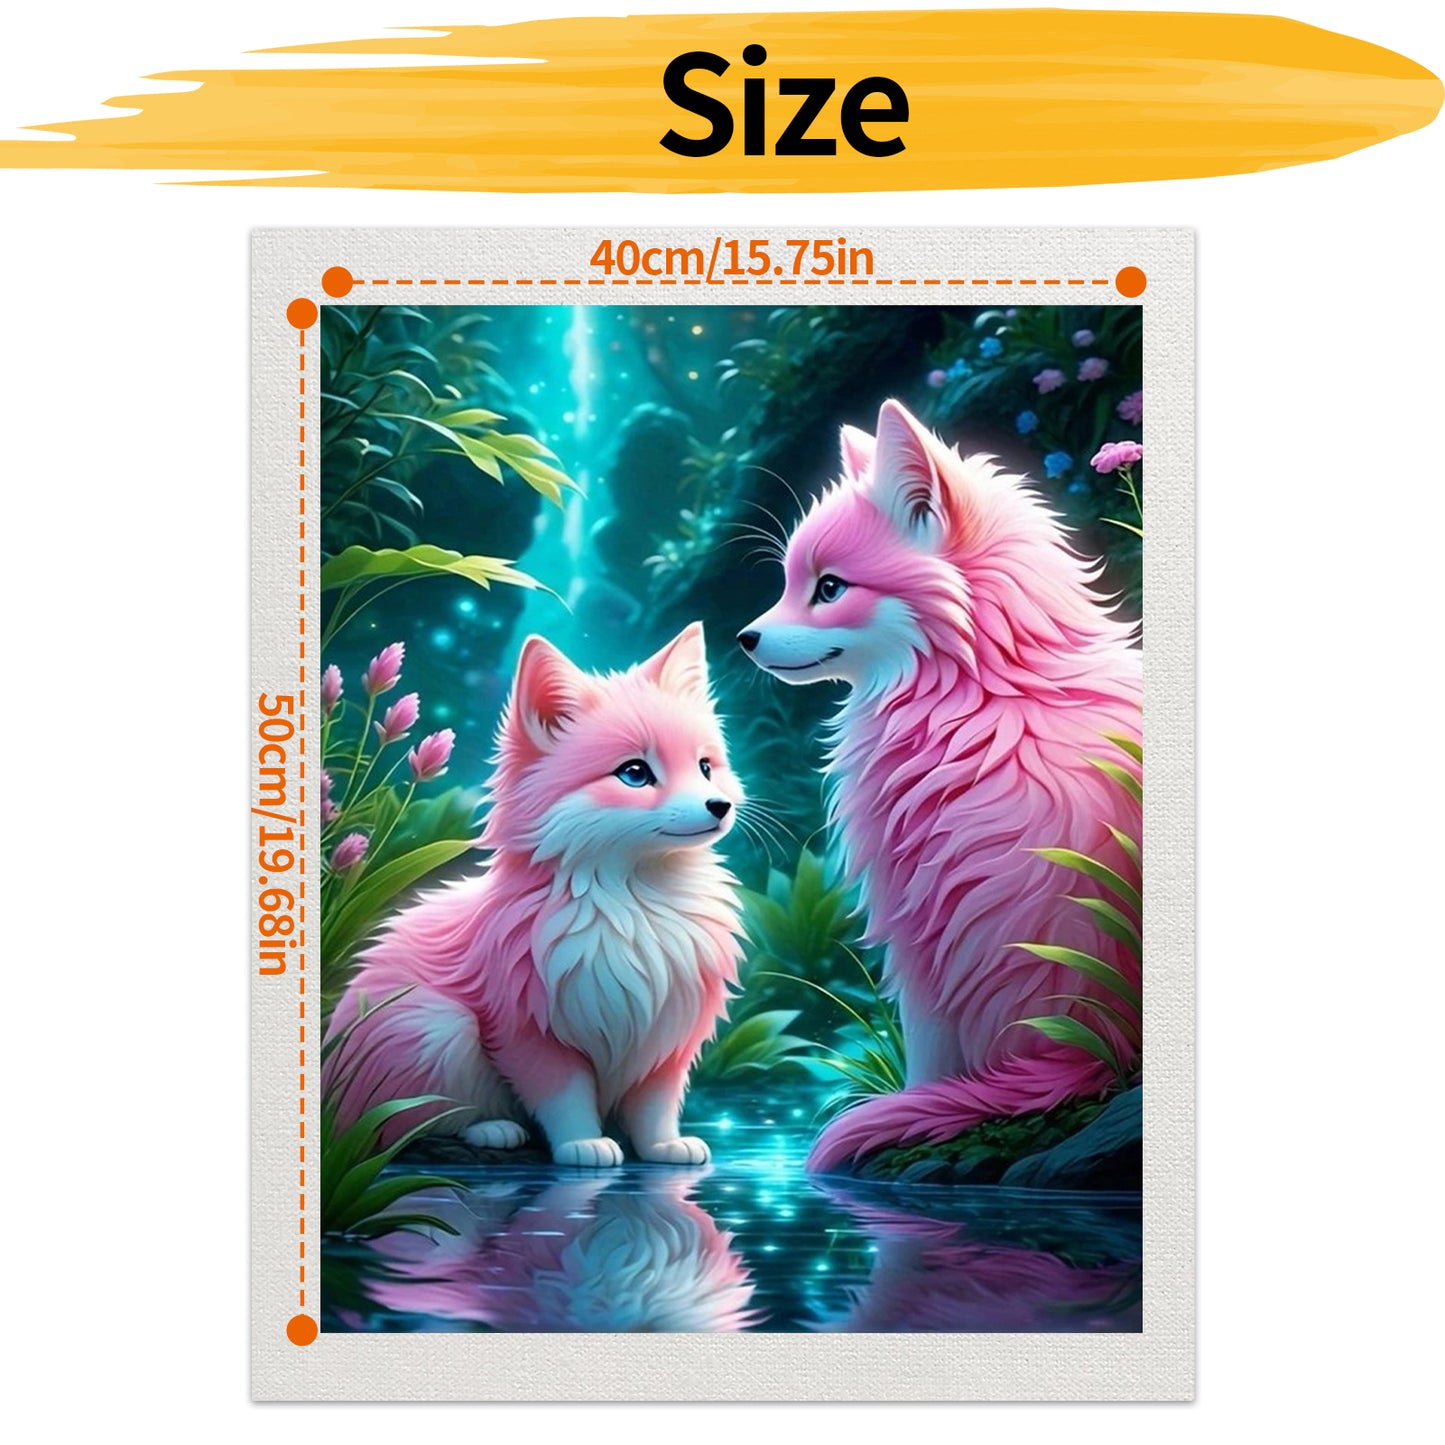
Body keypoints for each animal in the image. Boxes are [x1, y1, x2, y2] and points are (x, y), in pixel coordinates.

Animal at [323, 622, 745, 1168]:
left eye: (706, 767)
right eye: (635, 773)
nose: (720, 805)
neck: (637, 902)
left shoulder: (665, 1036)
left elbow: (656, 1104)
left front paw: (664, 1146)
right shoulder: (530, 1031)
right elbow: (565, 1097)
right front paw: (583, 1145)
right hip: (436, 1023)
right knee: (407, 1124)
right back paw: (493, 1130)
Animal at [739, 399, 1142, 1172]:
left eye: (829, 588)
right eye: (787, 583)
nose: (744, 637)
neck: (989, 691)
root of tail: (1088, 1052)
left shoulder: (919, 931)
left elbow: (929, 1056)